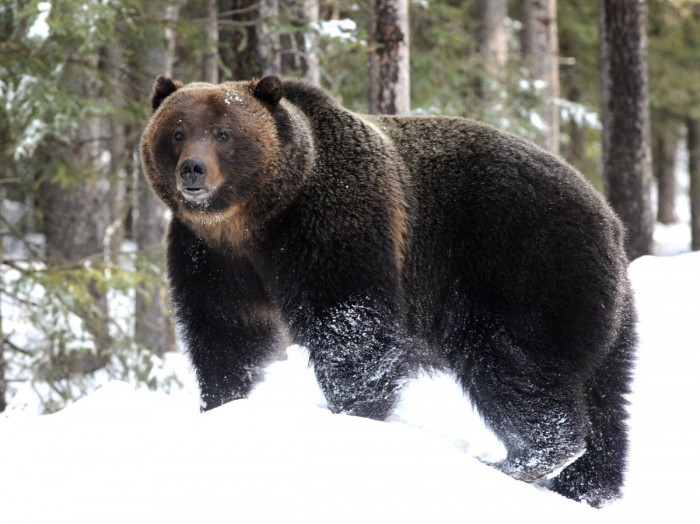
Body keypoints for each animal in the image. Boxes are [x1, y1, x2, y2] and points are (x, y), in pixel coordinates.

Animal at [140, 75, 636, 508]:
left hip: (523, 268)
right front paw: (221, 405)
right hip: (602, 313)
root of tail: (610, 219)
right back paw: (584, 486)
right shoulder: (210, 258)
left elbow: (351, 330)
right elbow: (226, 336)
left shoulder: (335, 228)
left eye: (224, 133)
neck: (256, 222)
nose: (193, 169)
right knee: (606, 399)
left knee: (514, 362)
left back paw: (520, 460)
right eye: (178, 131)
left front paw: (355, 416)